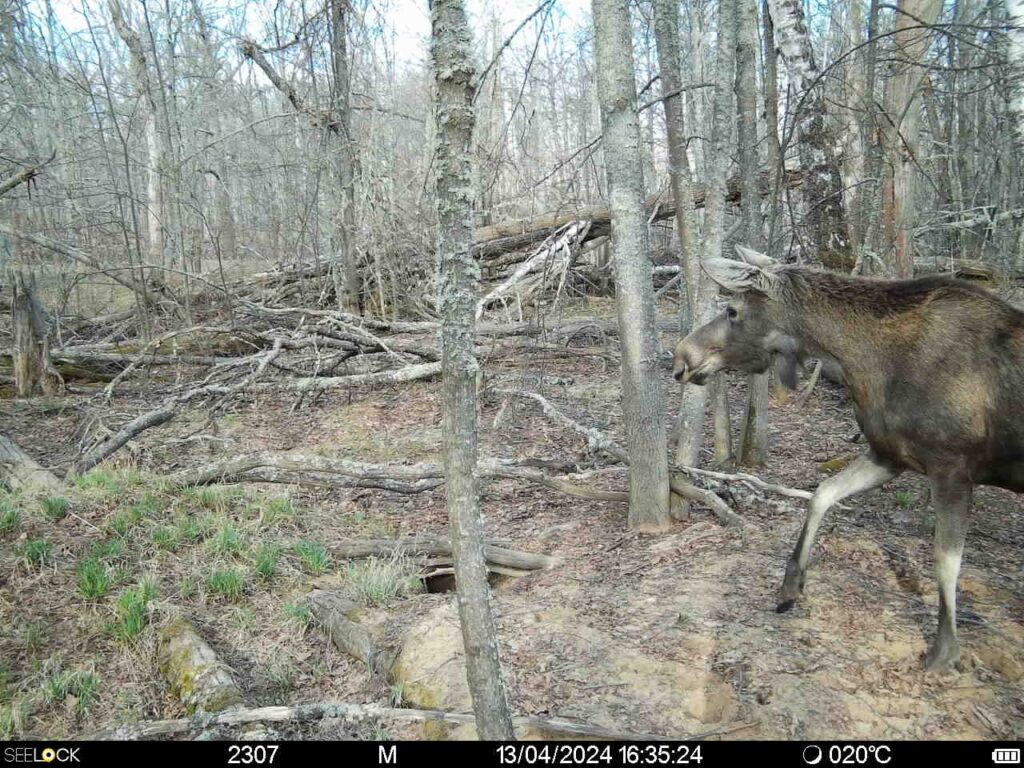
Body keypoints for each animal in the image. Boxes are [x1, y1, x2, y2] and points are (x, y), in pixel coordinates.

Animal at [671, 243, 1024, 671]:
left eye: (733, 310)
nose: (680, 357)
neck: (862, 363)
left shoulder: (952, 466)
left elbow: (945, 560)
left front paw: (944, 649)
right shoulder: (889, 454)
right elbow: (823, 493)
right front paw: (790, 587)